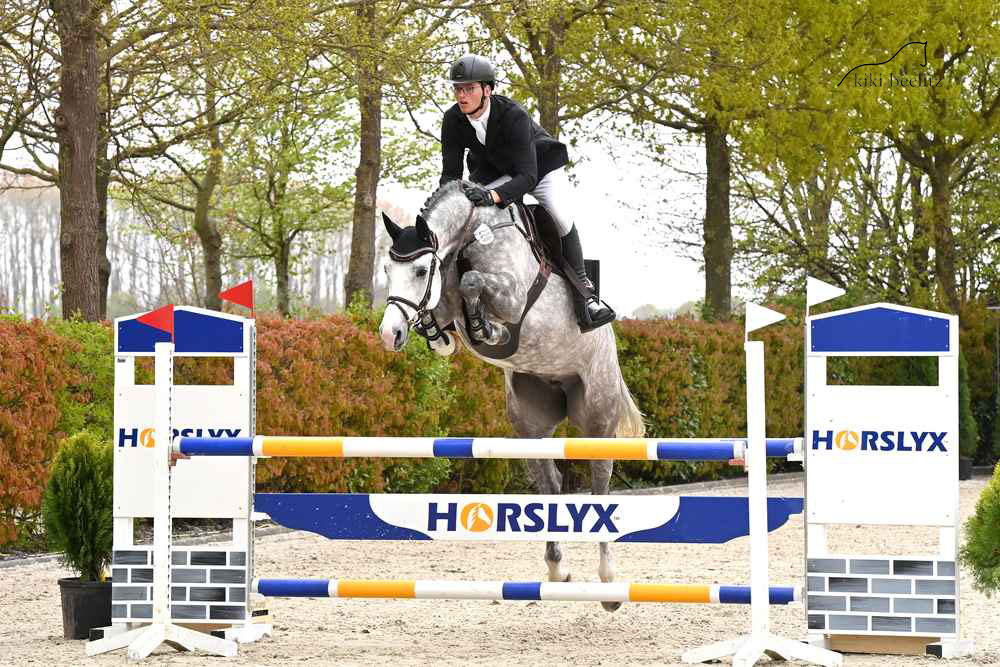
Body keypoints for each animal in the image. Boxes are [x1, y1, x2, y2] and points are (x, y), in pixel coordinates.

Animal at [377, 179, 645, 611]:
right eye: (387, 270)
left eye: (419, 270)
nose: (389, 334)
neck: (470, 236)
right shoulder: (448, 298)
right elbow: (449, 305)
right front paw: (438, 336)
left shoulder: (514, 297)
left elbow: (473, 285)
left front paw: (488, 328)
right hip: (530, 418)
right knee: (550, 484)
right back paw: (557, 569)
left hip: (597, 413)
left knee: (600, 480)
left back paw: (608, 583)